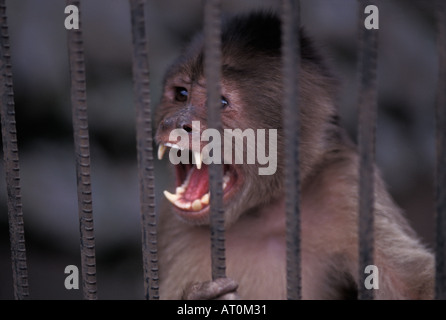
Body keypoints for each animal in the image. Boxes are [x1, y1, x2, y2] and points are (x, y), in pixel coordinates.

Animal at [155, 10, 434, 300]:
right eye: (181, 94)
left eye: (220, 103)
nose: (176, 122)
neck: (260, 214)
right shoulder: (172, 223)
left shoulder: (345, 183)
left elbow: (415, 285)